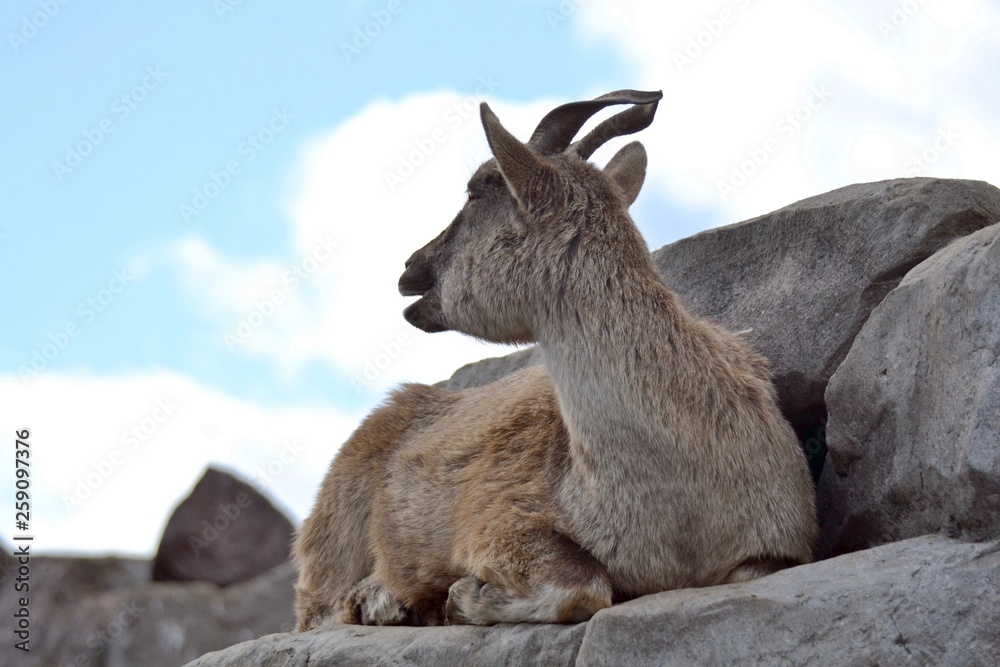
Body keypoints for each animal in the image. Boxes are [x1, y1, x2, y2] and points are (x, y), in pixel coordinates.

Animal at [293, 90, 817, 629]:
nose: (409, 270)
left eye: (476, 193)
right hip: (335, 532)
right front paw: (458, 595)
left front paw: (456, 597)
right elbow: (584, 584)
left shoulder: (775, 550)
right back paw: (383, 600)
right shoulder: (498, 520)